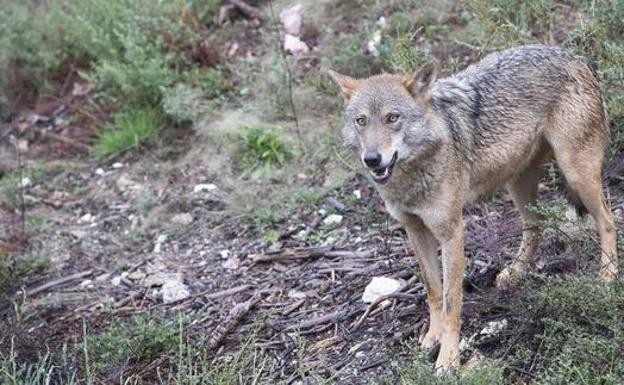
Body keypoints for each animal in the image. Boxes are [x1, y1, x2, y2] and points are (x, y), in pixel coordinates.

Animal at [330, 44, 616, 368]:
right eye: (361, 121)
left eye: (393, 117)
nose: (372, 159)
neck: (414, 175)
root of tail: (575, 56)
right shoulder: (415, 230)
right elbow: (433, 291)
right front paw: (432, 337)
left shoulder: (452, 232)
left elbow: (452, 301)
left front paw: (448, 360)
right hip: (518, 185)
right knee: (535, 226)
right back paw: (516, 273)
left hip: (576, 174)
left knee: (608, 220)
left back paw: (607, 276)